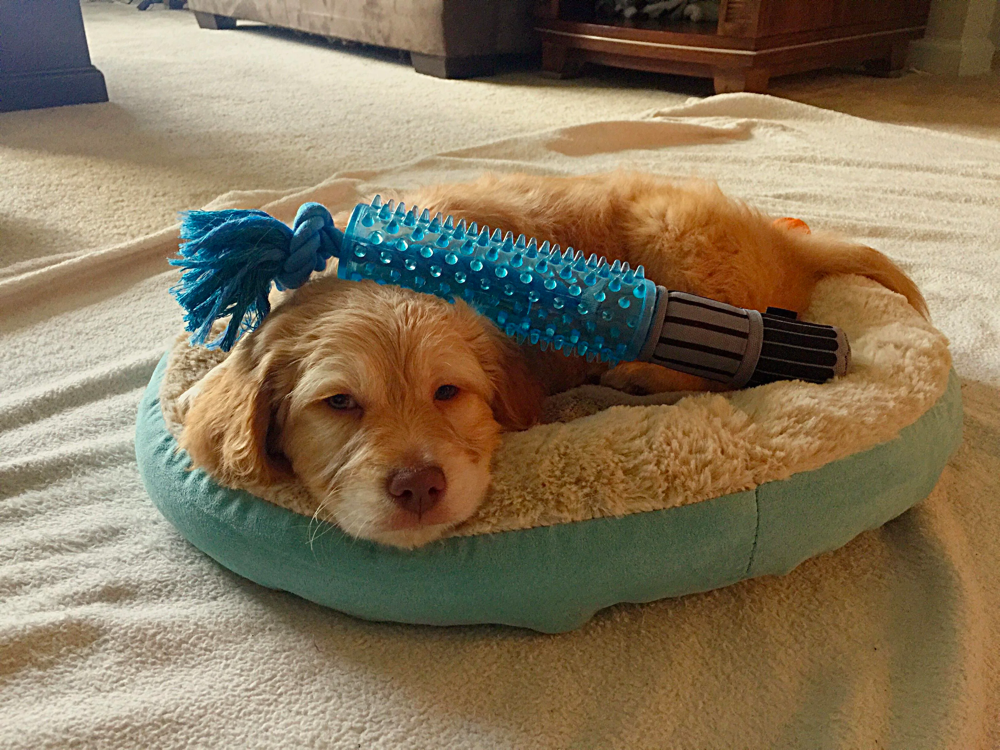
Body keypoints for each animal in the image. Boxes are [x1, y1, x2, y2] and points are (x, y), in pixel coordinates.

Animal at [176, 172, 924, 548]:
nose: (418, 488)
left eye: (448, 392)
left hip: (679, 243)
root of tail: (789, 246)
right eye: (339, 404)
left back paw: (637, 376)